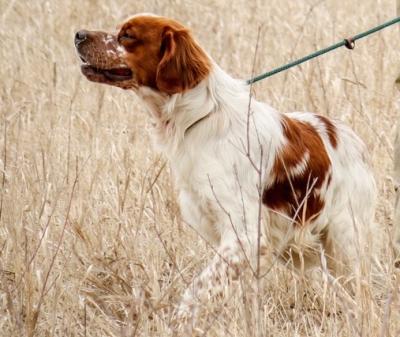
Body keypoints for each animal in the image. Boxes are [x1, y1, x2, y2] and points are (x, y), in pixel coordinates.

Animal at [74, 13, 378, 330]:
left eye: (128, 36)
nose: (79, 34)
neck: (196, 117)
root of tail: (354, 141)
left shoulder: (245, 236)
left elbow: (197, 290)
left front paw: (178, 323)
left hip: (345, 244)